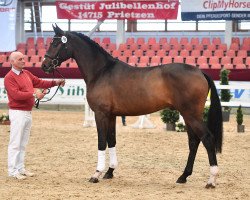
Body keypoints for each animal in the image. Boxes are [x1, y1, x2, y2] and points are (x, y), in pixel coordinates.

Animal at [41, 24, 223, 188]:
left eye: (56, 43)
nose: (44, 65)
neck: (101, 71)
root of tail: (200, 72)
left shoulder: (101, 114)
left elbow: (101, 142)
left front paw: (96, 174)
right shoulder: (111, 115)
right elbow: (111, 140)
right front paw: (110, 172)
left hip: (191, 115)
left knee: (207, 138)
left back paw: (211, 180)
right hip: (187, 115)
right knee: (194, 142)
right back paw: (183, 176)